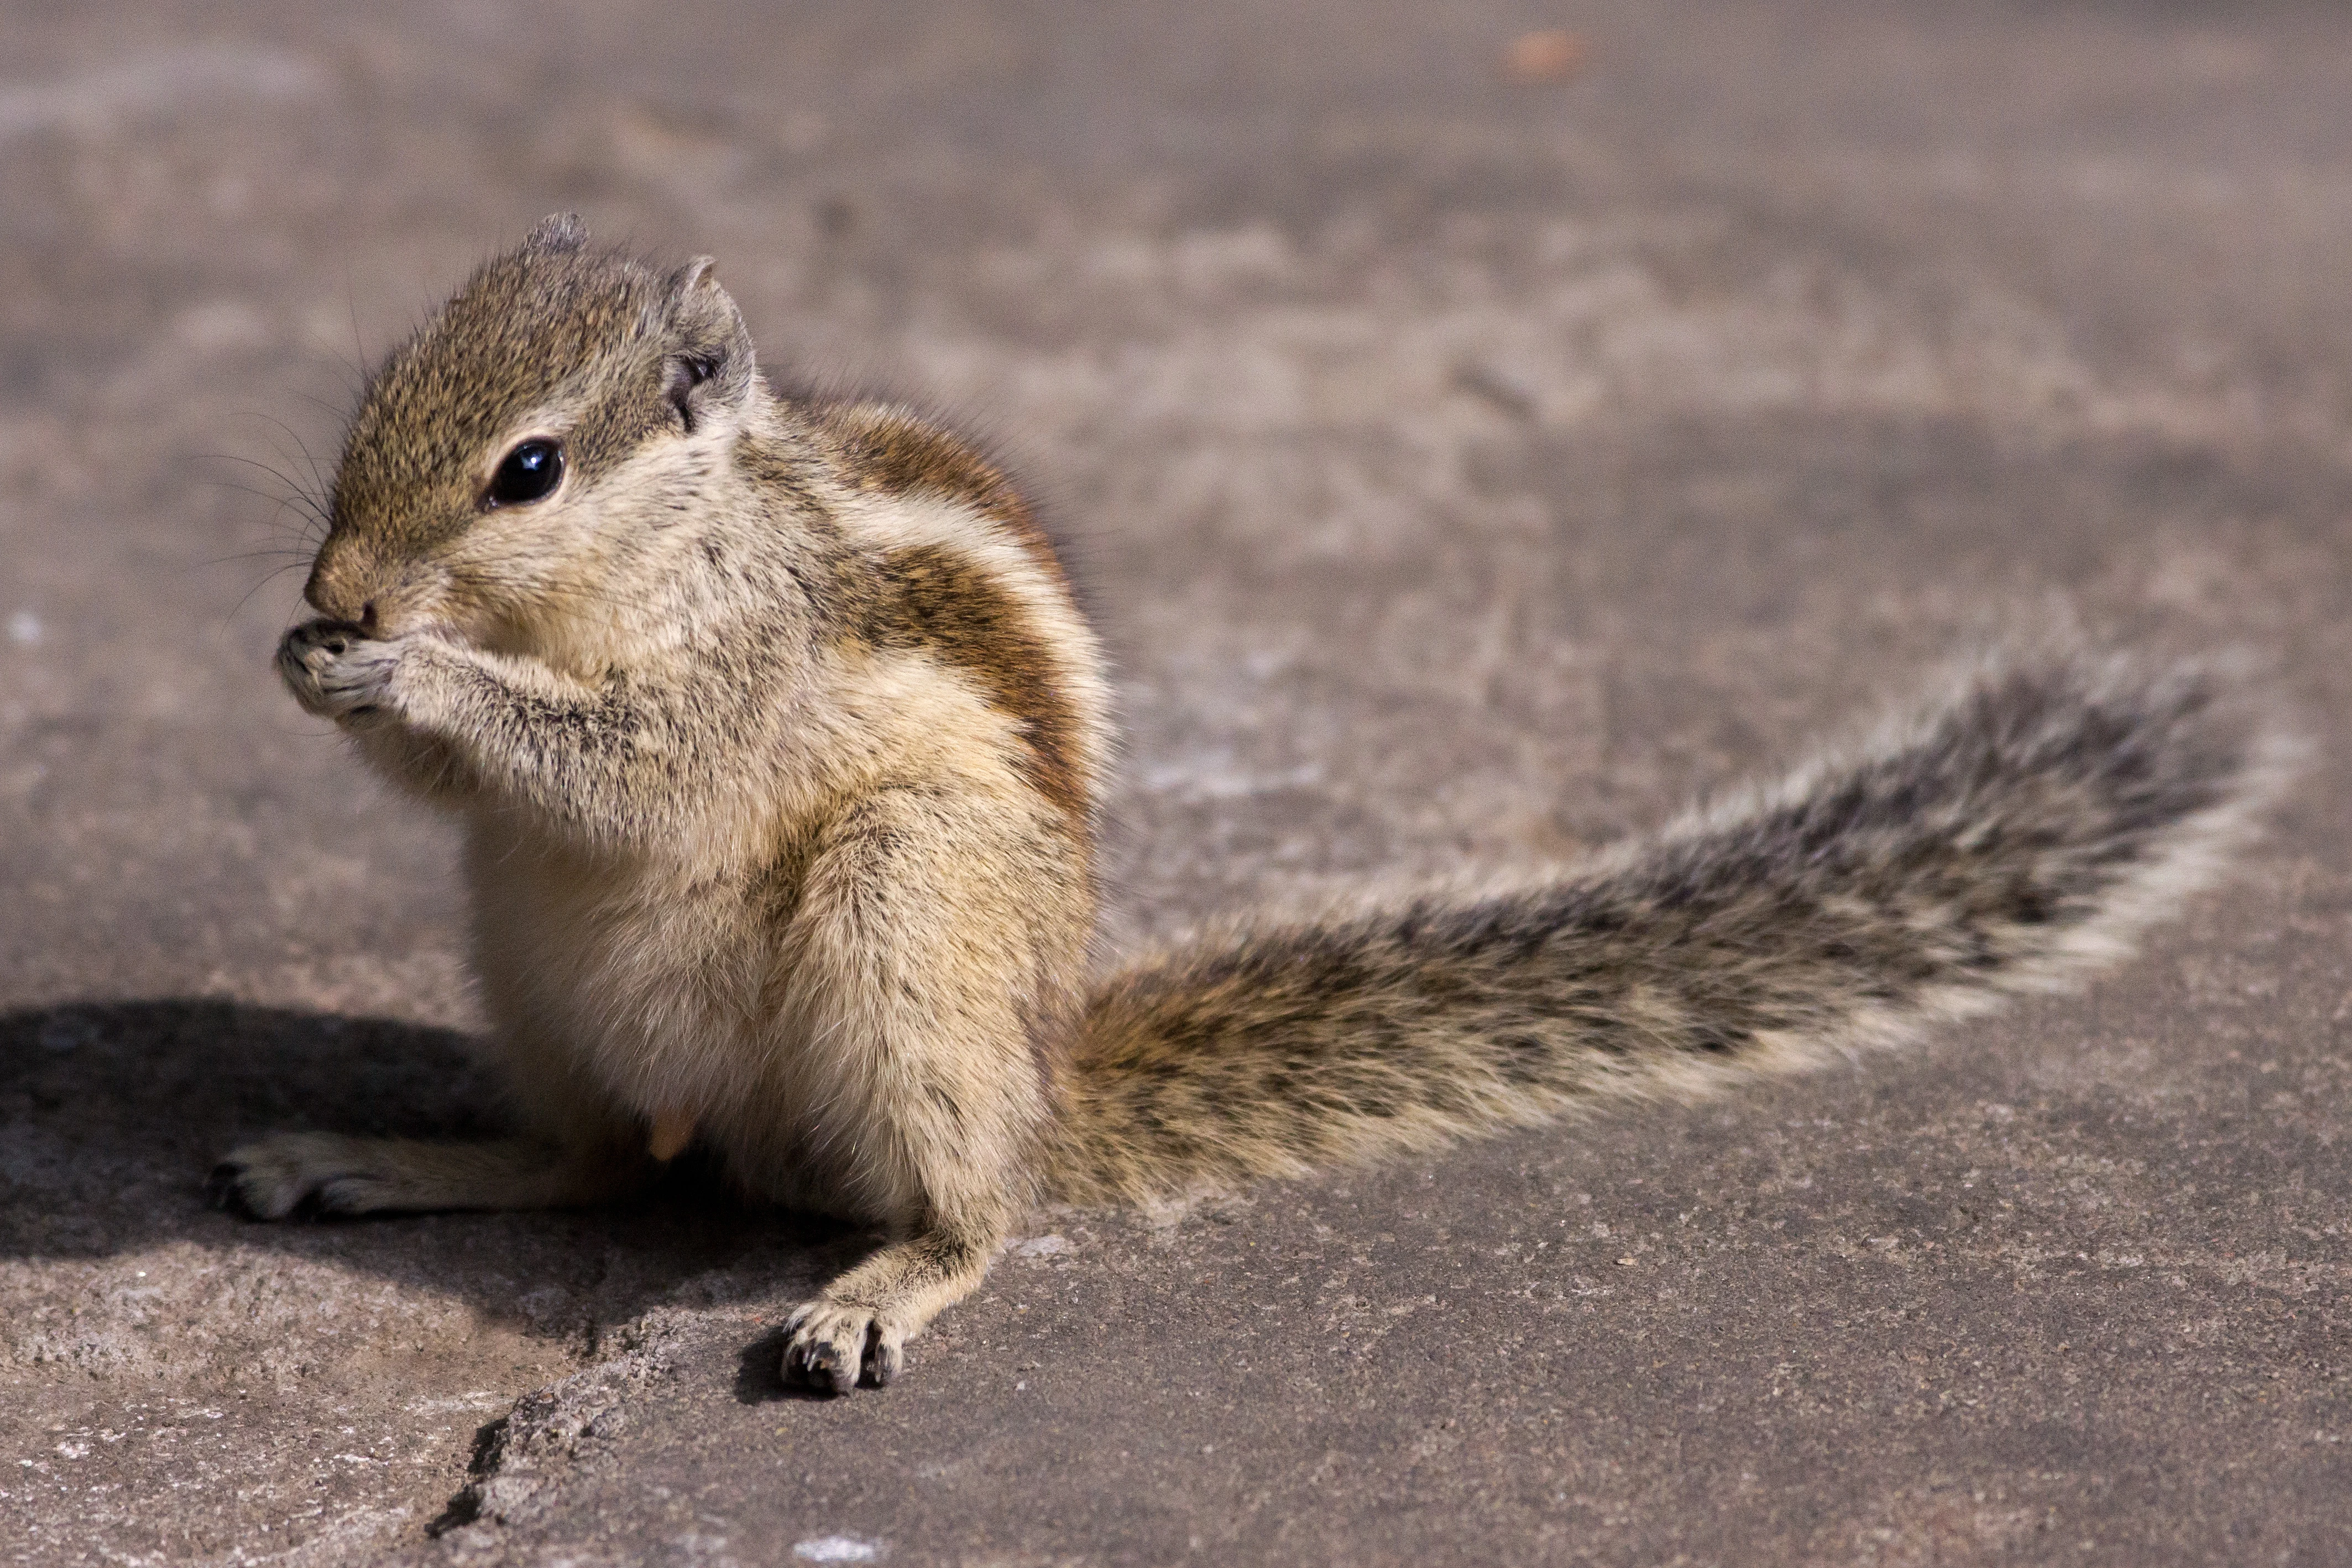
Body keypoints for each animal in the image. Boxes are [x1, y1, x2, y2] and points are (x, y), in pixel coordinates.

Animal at [211, 214, 2285, 1395]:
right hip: (525, 949)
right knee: (594, 1162)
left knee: (963, 1207)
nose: (340, 586)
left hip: (904, 905)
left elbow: (633, 757)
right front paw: (310, 657)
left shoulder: (738, 674)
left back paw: (879, 1285)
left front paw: (408, 674)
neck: (676, 541)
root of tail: (1047, 1072)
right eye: (370, 408)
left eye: (529, 470)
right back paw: (372, 1157)